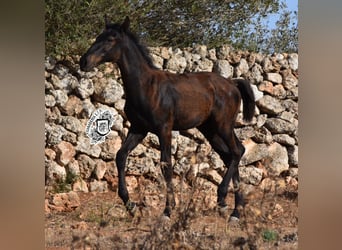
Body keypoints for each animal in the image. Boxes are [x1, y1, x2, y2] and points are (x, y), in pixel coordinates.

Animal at [80, 16, 255, 220]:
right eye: (98, 36)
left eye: (111, 39)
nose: (84, 61)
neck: (146, 86)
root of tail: (232, 83)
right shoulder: (138, 129)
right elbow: (121, 156)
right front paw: (130, 205)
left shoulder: (164, 129)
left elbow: (166, 165)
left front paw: (168, 210)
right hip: (211, 130)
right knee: (233, 154)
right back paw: (235, 209)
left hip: (223, 126)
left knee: (236, 152)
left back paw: (225, 200)